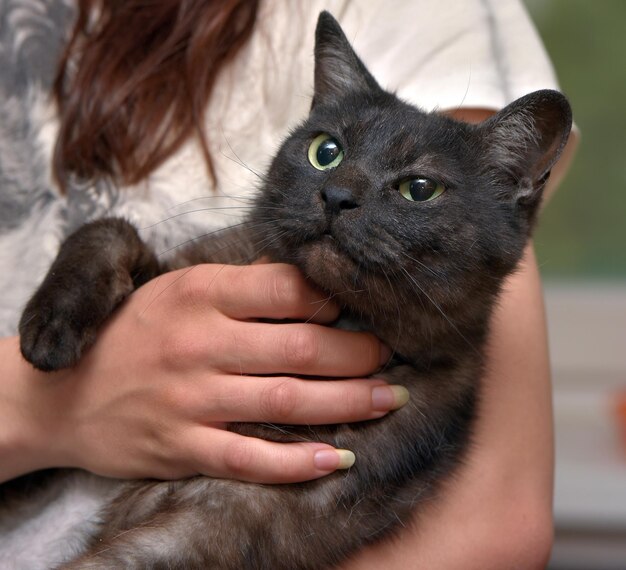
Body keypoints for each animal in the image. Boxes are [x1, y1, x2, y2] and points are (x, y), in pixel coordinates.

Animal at [13, 11, 572, 568]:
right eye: (326, 151)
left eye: (419, 189)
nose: (337, 194)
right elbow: (107, 229)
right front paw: (50, 329)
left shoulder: (218, 519)